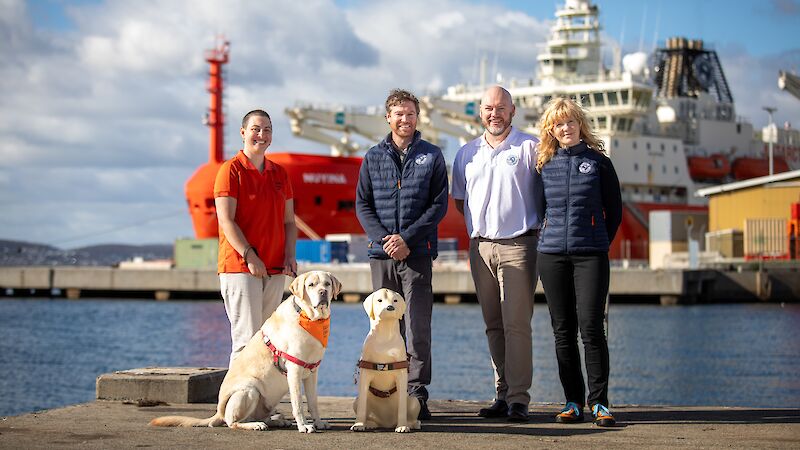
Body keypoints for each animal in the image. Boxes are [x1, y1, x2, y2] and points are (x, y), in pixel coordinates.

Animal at [150, 270, 340, 432]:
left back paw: (276, 420)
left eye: (327, 284)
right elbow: (298, 403)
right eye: (311, 285)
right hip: (249, 390)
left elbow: (313, 402)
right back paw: (256, 425)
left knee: (255, 417)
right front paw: (304, 426)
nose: (323, 292)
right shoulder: (294, 369)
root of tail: (218, 412)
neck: (309, 318)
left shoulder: (312, 371)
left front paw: (319, 422)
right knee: (233, 422)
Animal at [352, 288, 422, 432]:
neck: (384, 335)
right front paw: (358, 425)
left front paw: (402, 426)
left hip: (414, 401)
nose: (390, 307)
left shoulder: (401, 375)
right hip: (356, 401)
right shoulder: (365, 374)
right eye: (379, 300)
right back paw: (369, 423)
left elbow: (402, 406)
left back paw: (413, 424)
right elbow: (362, 406)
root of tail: (386, 423)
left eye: (395, 300)